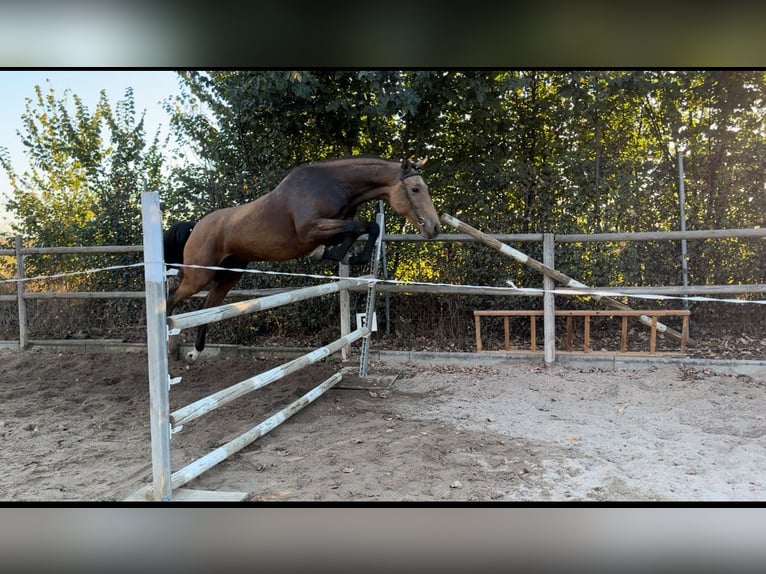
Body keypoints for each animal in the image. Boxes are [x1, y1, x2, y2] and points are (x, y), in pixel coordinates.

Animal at [164, 155, 440, 363]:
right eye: (415, 189)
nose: (434, 227)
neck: (336, 184)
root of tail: (196, 226)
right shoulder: (312, 230)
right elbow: (354, 228)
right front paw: (336, 254)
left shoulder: (335, 225)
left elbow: (367, 226)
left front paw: (352, 257)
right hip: (199, 275)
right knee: (173, 297)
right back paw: (167, 339)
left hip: (229, 275)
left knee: (207, 307)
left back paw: (195, 351)